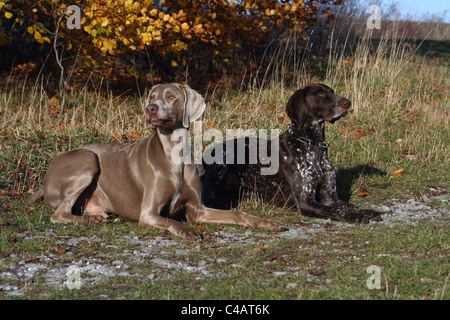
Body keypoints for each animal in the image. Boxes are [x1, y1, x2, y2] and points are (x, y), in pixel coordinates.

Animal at [28, 84, 284, 239]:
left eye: (170, 96)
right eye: (152, 97)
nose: (150, 108)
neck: (174, 153)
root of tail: (45, 179)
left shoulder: (198, 210)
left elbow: (237, 214)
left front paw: (266, 222)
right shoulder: (148, 214)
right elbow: (172, 222)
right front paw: (188, 231)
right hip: (88, 159)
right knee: (58, 214)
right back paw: (91, 220)